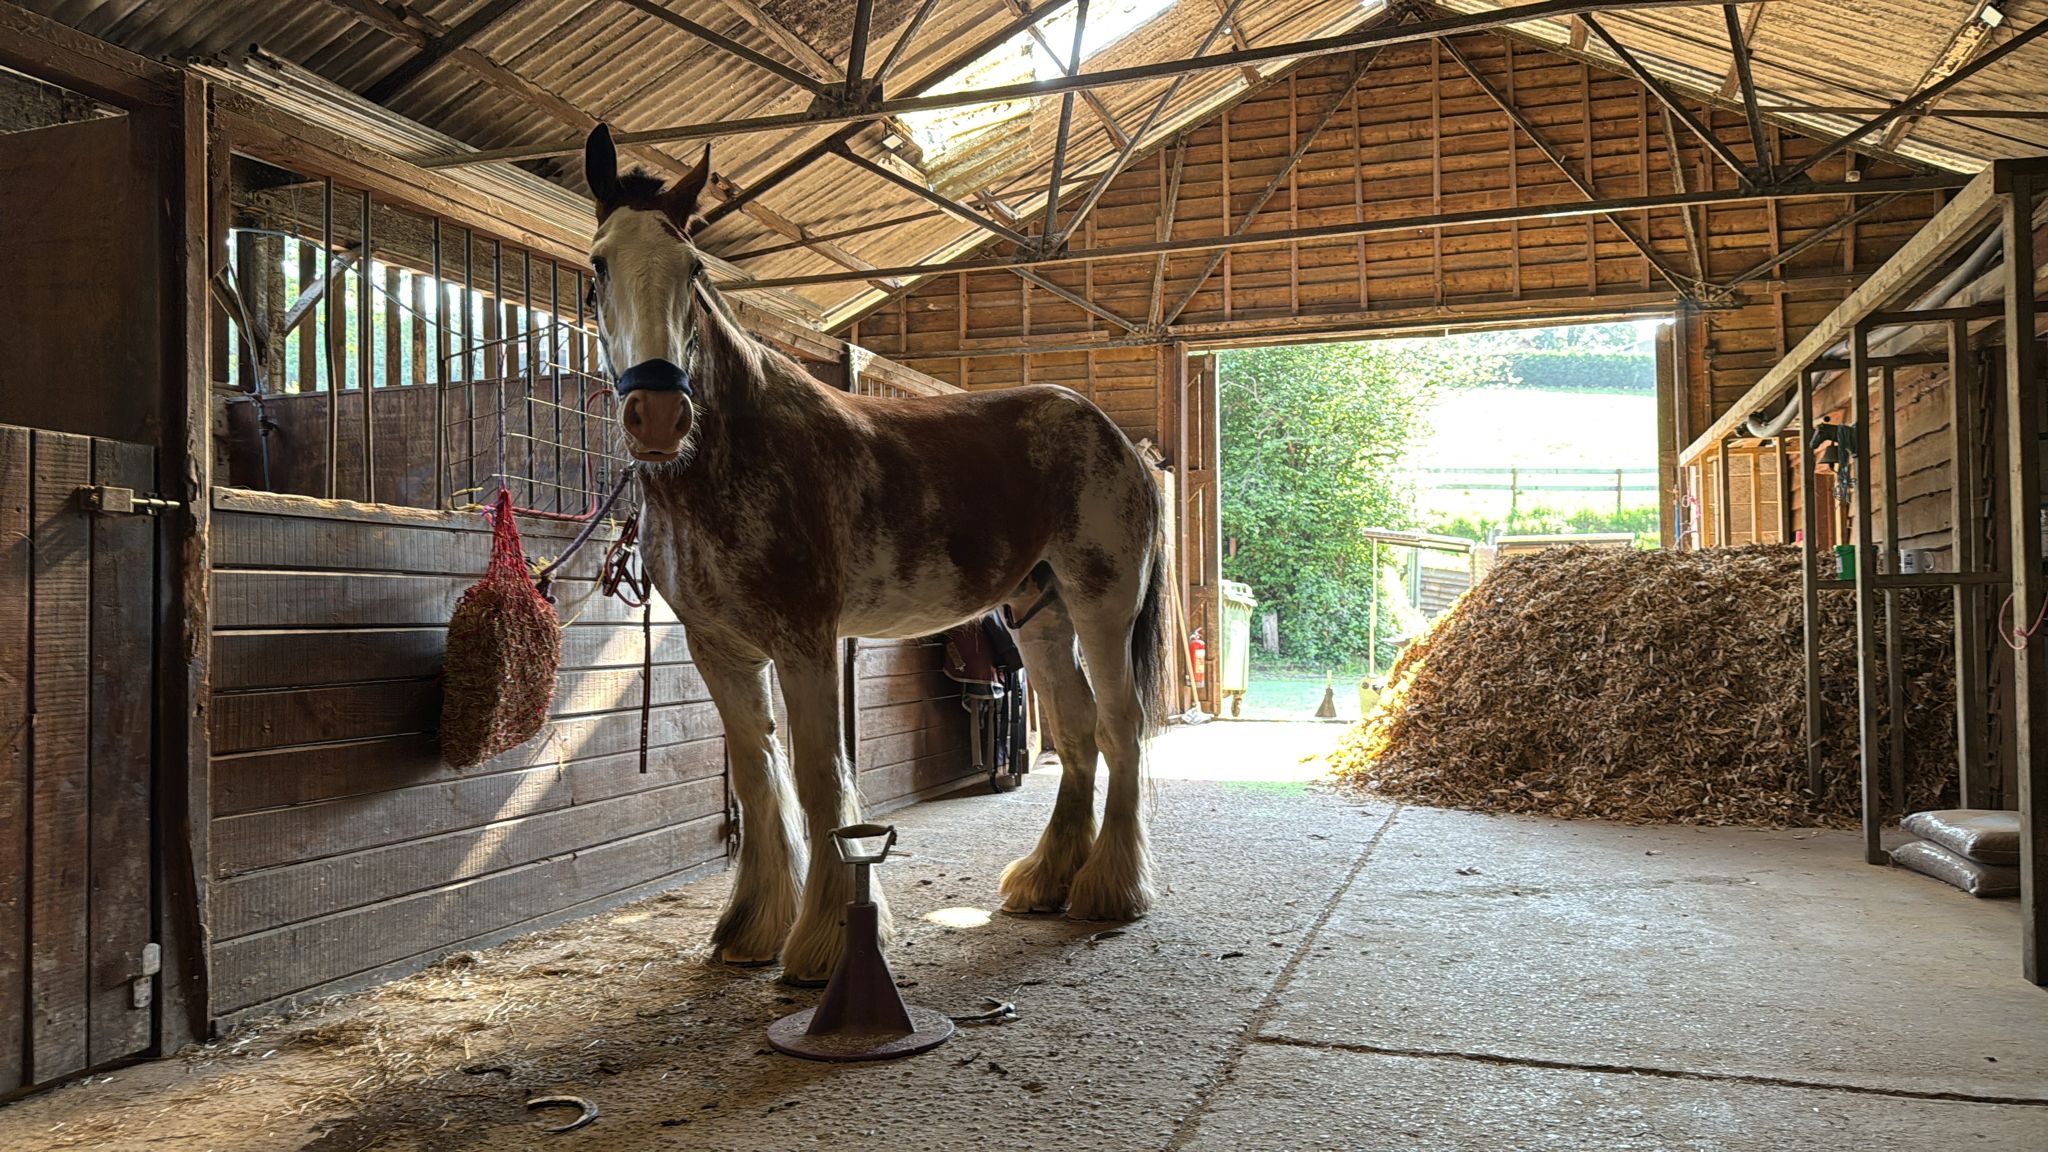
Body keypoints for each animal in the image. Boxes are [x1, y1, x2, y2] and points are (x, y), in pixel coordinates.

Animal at [581, 124, 1170, 984]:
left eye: (692, 268)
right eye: (598, 264)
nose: (657, 416)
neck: (729, 455)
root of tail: (1114, 437)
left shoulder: (805, 640)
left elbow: (821, 776)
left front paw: (825, 942)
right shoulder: (718, 647)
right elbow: (758, 777)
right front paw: (752, 927)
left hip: (1102, 605)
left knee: (1121, 725)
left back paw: (1111, 891)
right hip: (1039, 615)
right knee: (1077, 730)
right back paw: (1046, 881)